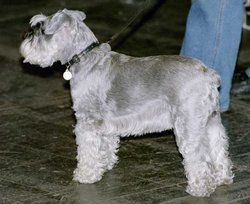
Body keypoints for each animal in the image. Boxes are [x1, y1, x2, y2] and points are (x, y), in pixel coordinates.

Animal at [20, 9, 234, 196]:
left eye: (41, 29)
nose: (25, 38)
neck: (85, 58)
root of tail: (209, 75)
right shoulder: (106, 124)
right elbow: (106, 145)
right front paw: (104, 165)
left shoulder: (87, 122)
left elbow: (87, 151)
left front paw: (85, 175)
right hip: (211, 123)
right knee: (218, 149)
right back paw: (223, 178)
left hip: (188, 127)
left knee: (199, 158)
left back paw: (200, 188)